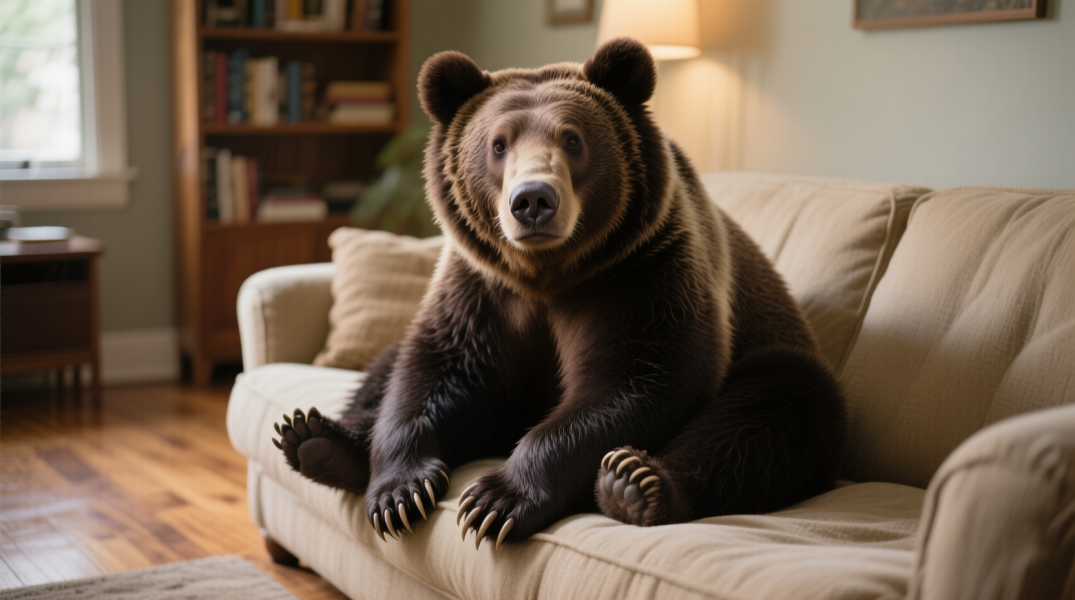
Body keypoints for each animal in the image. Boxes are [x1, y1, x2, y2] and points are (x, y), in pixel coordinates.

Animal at [272, 38, 847, 552]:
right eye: (498, 143)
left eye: (573, 139)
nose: (533, 200)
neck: (548, 274)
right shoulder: (482, 291)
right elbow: (436, 373)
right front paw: (400, 492)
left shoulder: (641, 276)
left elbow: (638, 380)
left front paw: (495, 500)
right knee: (383, 368)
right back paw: (317, 440)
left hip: (774, 356)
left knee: (774, 406)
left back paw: (636, 484)